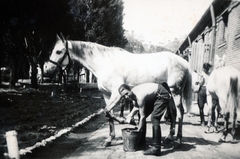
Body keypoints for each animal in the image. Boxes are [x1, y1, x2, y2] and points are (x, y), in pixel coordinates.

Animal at [44, 35, 192, 147]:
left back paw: (178, 139)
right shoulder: (106, 95)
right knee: (173, 113)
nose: (47, 70)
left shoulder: (116, 94)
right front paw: (110, 139)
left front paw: (128, 121)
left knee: (180, 112)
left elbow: (108, 112)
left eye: (58, 51)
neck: (105, 63)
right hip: (169, 93)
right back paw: (169, 137)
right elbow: (108, 114)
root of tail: (183, 62)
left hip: (176, 92)